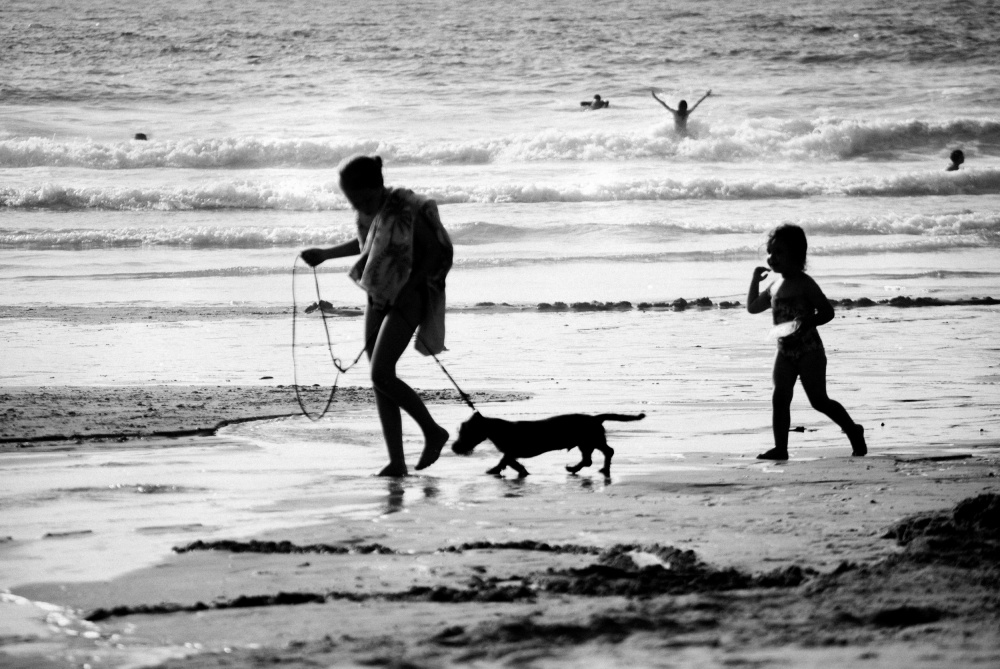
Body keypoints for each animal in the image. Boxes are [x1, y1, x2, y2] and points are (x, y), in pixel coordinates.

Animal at [450, 412, 644, 474]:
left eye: (464, 432)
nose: (454, 447)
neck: (498, 429)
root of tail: (596, 418)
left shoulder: (511, 451)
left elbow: (504, 461)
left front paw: (493, 470)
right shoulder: (511, 453)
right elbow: (510, 462)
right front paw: (522, 471)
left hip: (591, 439)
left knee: (607, 452)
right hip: (586, 443)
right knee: (589, 459)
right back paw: (575, 468)